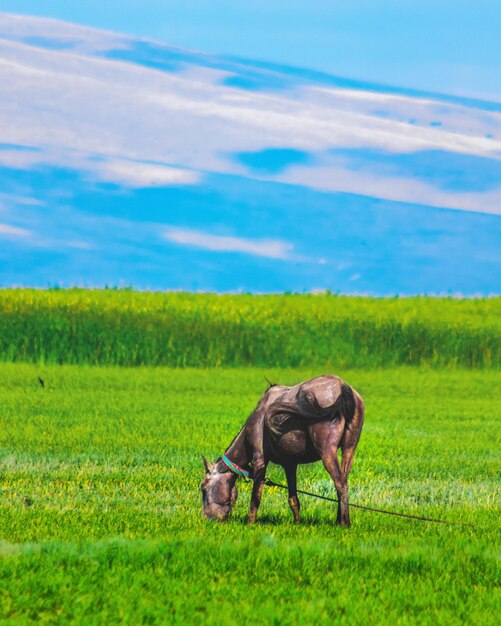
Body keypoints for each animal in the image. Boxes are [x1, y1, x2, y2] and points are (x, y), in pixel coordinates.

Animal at [199, 372, 364, 524]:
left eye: (203, 489)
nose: (205, 518)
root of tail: (342, 387)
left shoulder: (259, 460)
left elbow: (256, 496)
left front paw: (249, 523)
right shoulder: (290, 464)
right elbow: (293, 499)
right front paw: (297, 523)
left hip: (327, 452)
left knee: (340, 483)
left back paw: (344, 523)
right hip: (349, 450)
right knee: (343, 480)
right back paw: (339, 519)